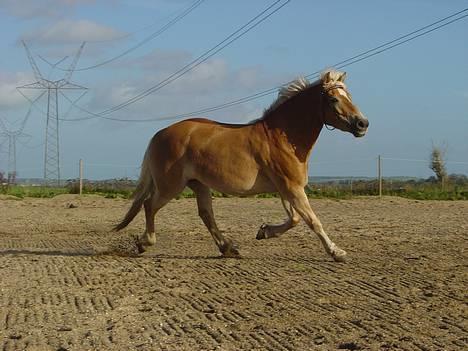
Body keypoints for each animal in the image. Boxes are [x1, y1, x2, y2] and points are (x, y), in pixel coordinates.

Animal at [114, 69, 370, 262]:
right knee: (149, 205)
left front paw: (264, 231)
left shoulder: (286, 189)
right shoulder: (292, 188)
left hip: (198, 184)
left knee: (205, 214)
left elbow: (295, 219)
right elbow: (312, 221)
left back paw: (228, 248)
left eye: (349, 96)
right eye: (334, 99)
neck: (282, 137)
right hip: (171, 186)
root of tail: (160, 134)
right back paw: (145, 242)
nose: (362, 124)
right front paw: (337, 252)